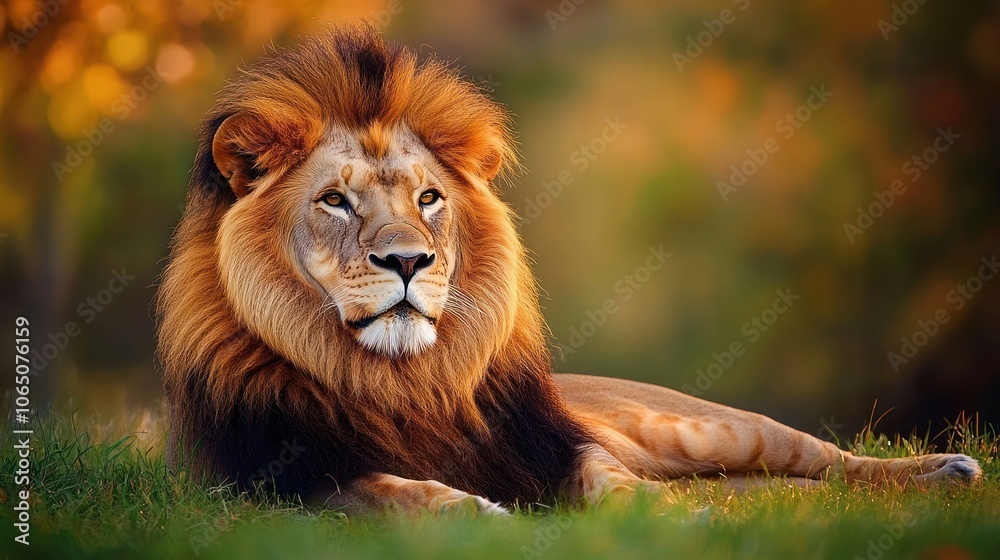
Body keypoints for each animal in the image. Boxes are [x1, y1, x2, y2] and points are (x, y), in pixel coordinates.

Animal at [157, 24, 980, 515]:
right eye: (334, 200)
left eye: (428, 198)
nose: (408, 260)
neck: (403, 380)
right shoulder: (275, 482)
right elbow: (389, 491)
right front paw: (476, 514)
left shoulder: (555, 445)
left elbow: (604, 474)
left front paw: (661, 517)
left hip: (705, 430)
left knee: (831, 459)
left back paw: (947, 471)